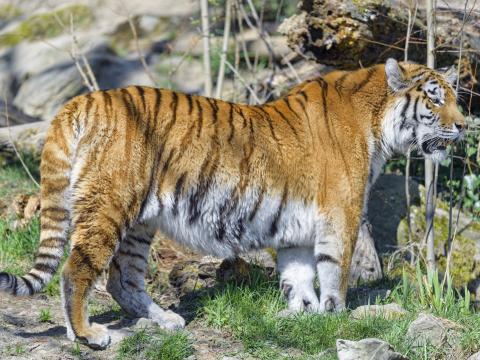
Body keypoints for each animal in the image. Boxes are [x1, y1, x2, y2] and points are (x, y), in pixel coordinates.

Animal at [0, 59, 464, 348]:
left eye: (455, 98)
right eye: (436, 98)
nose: (463, 125)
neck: (377, 122)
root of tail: (83, 99)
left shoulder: (297, 229)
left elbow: (298, 277)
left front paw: (302, 316)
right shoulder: (341, 215)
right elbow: (334, 272)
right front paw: (336, 317)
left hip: (139, 222)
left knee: (121, 279)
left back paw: (165, 320)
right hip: (109, 206)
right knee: (76, 269)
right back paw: (87, 335)